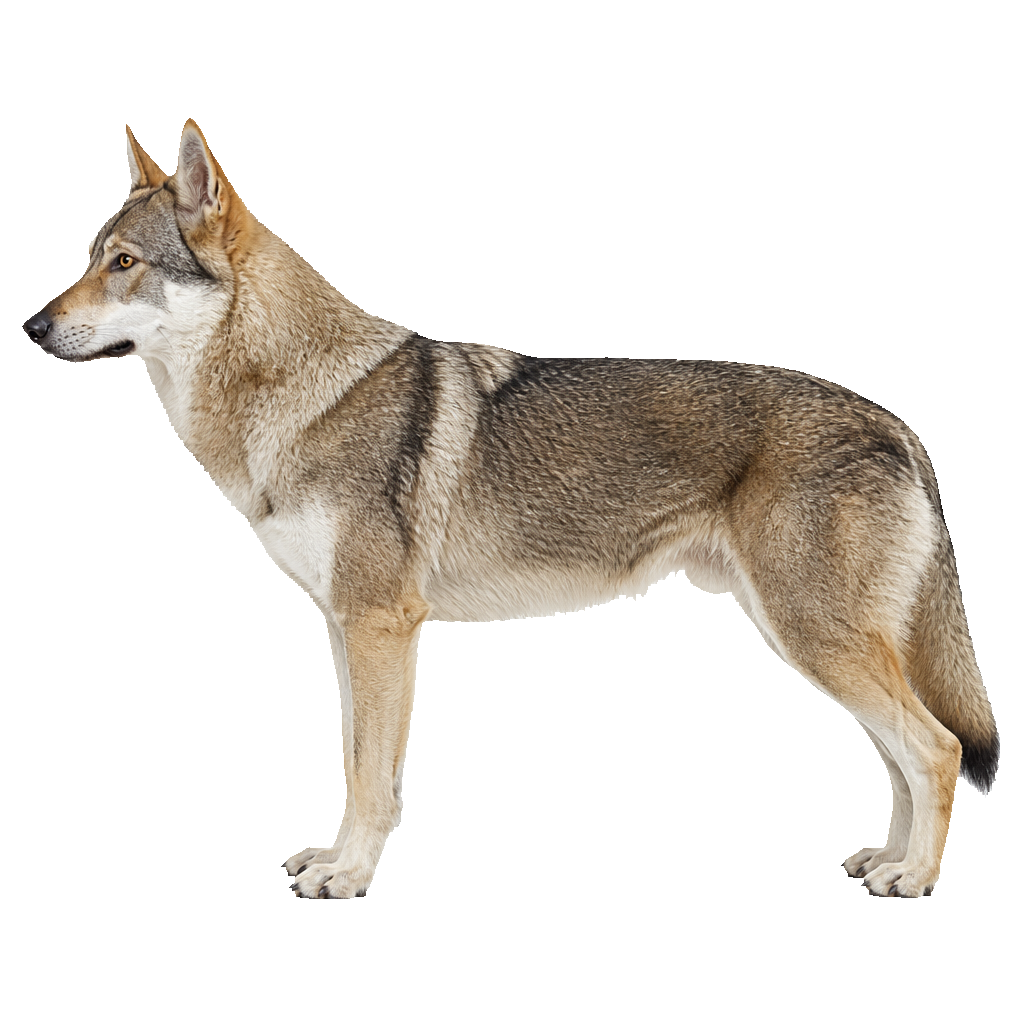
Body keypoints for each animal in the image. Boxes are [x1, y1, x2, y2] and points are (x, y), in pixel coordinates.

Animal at [20, 118, 999, 900]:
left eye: (123, 264)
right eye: (86, 257)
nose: (28, 326)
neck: (294, 397)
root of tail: (900, 423)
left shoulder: (382, 626)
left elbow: (371, 776)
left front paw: (351, 877)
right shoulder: (342, 627)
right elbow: (355, 762)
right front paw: (336, 859)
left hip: (813, 639)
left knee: (938, 749)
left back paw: (915, 878)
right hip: (803, 643)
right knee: (902, 758)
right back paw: (887, 859)